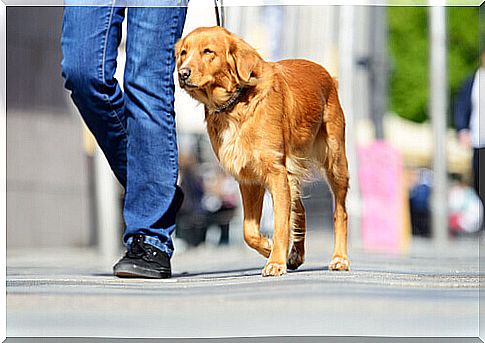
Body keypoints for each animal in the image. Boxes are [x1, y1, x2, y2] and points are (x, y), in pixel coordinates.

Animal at [174, 26, 348, 278]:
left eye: (208, 51)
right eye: (183, 53)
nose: (182, 73)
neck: (236, 103)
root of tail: (326, 74)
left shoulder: (276, 171)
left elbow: (280, 223)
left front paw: (275, 260)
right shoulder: (248, 178)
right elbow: (249, 231)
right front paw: (269, 247)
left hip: (335, 162)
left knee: (340, 212)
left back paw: (340, 258)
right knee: (300, 209)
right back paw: (296, 254)